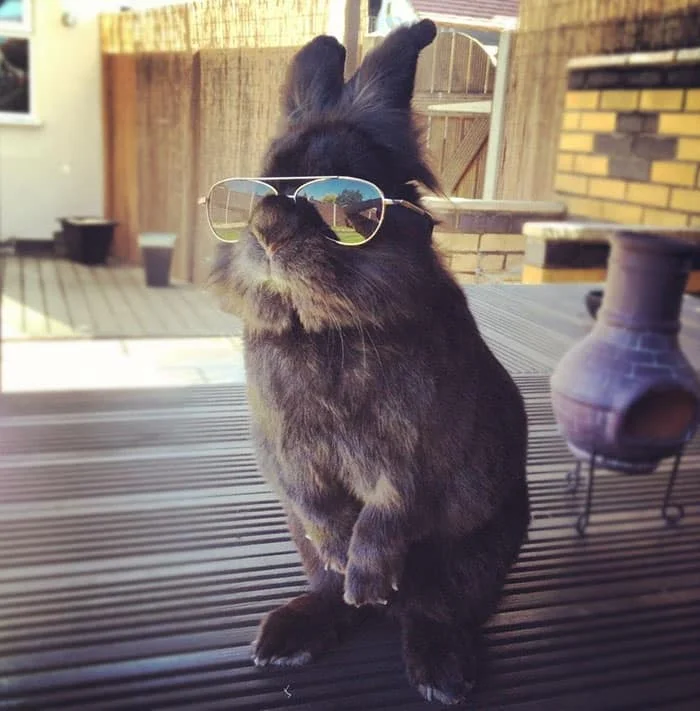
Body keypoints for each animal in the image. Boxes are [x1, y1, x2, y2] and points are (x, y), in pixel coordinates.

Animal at [209, 19, 530, 705]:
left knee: (433, 608)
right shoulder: (286, 449)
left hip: (474, 557)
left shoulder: (419, 452)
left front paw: (369, 578)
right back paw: (290, 635)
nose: (267, 233)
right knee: (334, 595)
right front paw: (346, 560)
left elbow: (389, 511)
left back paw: (437, 669)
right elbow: (318, 504)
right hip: (304, 545)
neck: (325, 330)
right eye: (259, 186)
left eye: (341, 194)